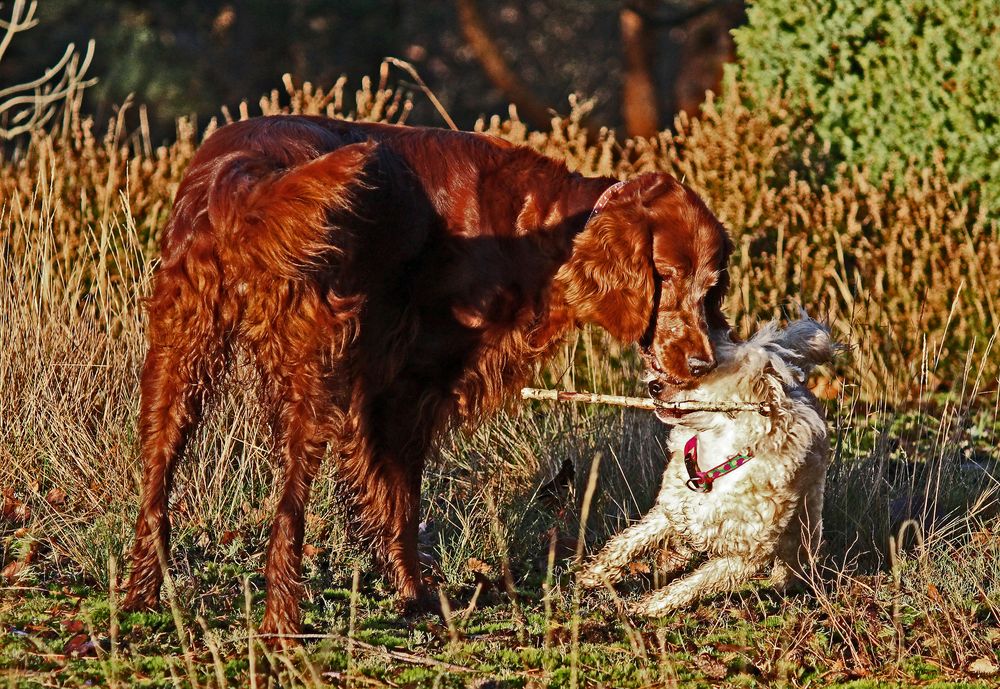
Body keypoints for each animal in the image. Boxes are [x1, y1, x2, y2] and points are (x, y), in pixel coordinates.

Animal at [123, 115, 736, 636]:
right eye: (666, 275)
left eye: (710, 287)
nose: (702, 364)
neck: (542, 230)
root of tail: (243, 171)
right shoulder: (409, 384)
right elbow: (403, 500)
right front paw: (414, 593)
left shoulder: (376, 389)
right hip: (308, 368)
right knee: (288, 511)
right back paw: (282, 622)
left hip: (177, 352)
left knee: (156, 479)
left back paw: (141, 597)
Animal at [580, 316, 836, 612]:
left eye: (700, 375)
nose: (654, 385)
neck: (716, 463)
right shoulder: (672, 510)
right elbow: (631, 540)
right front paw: (595, 573)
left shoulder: (744, 555)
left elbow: (692, 585)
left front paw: (652, 607)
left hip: (807, 514)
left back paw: (784, 581)